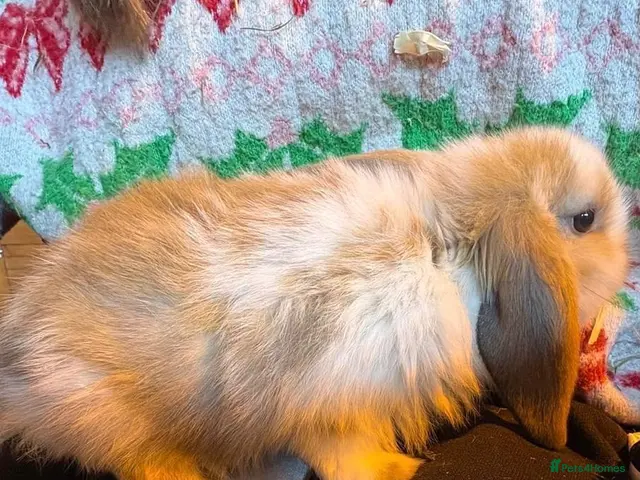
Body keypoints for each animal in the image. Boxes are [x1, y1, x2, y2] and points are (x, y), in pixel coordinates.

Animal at [0, 127, 629, 480]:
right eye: (585, 219)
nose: (629, 261)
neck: (447, 253)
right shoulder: (327, 391)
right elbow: (337, 454)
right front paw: (397, 468)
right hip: (103, 409)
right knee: (137, 460)